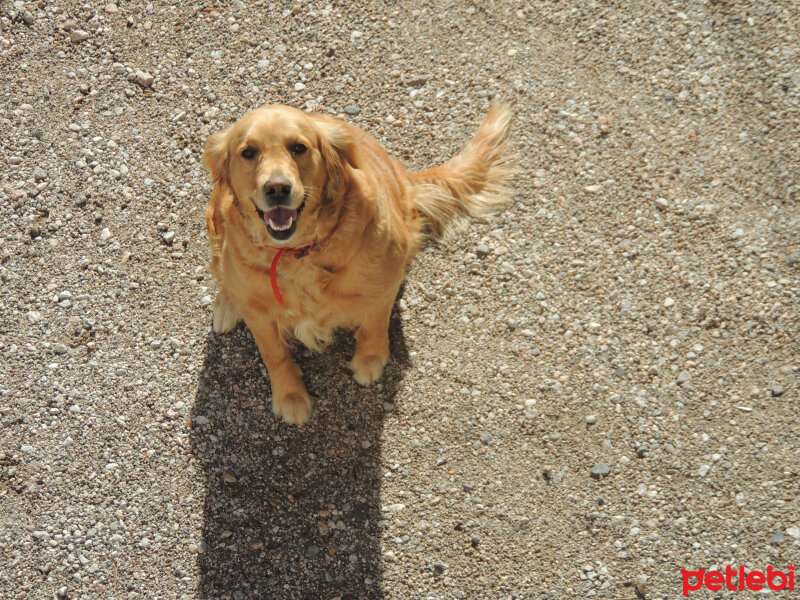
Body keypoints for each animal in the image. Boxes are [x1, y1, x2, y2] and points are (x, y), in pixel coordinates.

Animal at [202, 103, 512, 424]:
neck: (298, 251)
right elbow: (274, 353)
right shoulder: (259, 314)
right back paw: (227, 305)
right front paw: (290, 396)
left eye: (299, 147)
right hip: (214, 219)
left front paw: (370, 359)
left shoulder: (384, 277)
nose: (277, 188)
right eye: (248, 152)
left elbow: (375, 320)